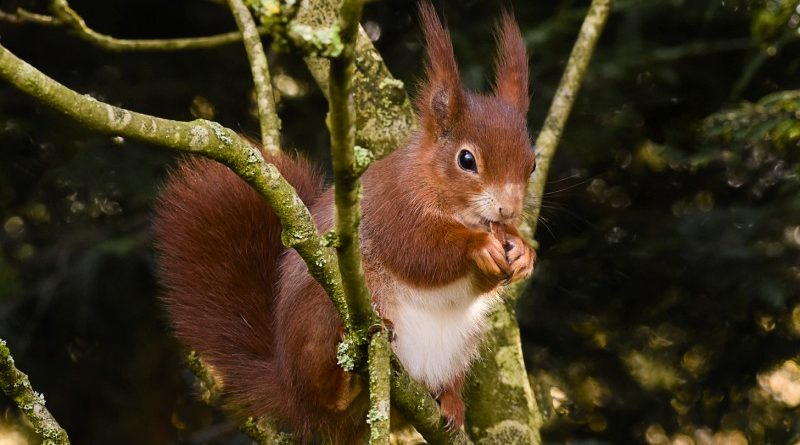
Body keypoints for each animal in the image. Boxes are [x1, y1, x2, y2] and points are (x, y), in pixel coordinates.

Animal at [153, 3, 536, 443]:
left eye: (532, 164)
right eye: (466, 160)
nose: (509, 209)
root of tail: (290, 389)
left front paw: (522, 252)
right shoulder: (391, 209)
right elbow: (420, 252)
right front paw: (479, 247)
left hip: (459, 346)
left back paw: (449, 401)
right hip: (322, 318)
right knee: (327, 392)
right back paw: (343, 387)